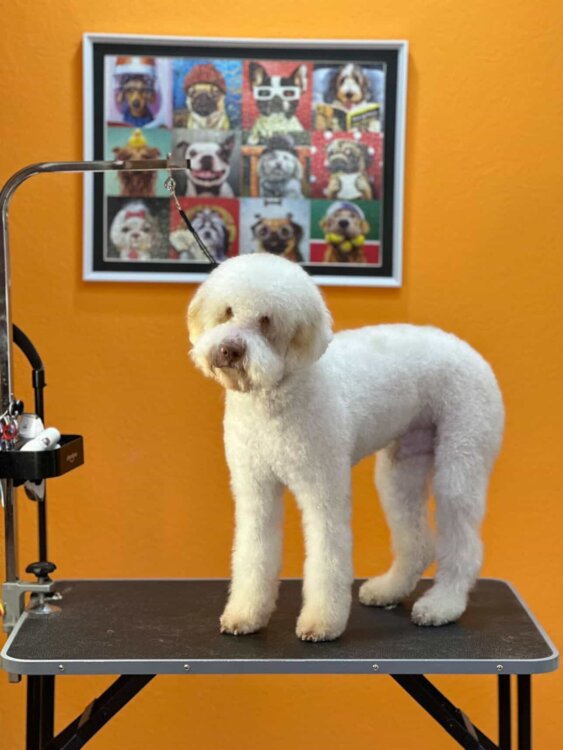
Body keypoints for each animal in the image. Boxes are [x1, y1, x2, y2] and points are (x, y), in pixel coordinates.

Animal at [187, 254, 504, 641]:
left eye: (266, 321)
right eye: (227, 311)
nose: (229, 350)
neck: (278, 399)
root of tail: (472, 353)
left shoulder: (323, 488)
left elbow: (328, 559)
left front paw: (322, 622)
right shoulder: (255, 488)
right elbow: (253, 553)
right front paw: (245, 614)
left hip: (461, 457)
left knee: (464, 545)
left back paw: (442, 605)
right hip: (401, 470)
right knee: (416, 542)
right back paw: (387, 590)